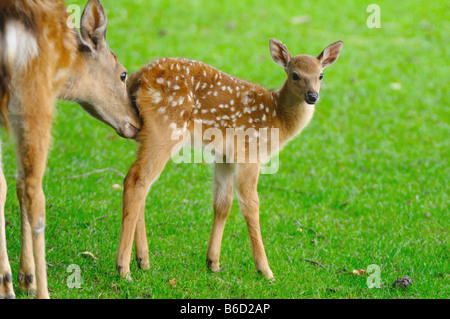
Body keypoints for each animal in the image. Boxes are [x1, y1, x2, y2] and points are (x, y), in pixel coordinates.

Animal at [0, 0, 140, 300]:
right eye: (123, 74)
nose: (138, 122)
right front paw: (27, 279)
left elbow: (11, 183)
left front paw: (22, 276)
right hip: (33, 94)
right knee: (34, 191)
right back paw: (41, 291)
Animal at [118, 38, 342, 282]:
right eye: (295, 74)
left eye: (321, 75)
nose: (312, 96)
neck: (277, 119)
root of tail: (137, 77)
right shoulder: (250, 153)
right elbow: (251, 206)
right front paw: (265, 270)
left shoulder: (225, 156)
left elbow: (222, 203)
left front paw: (213, 263)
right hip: (165, 126)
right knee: (137, 181)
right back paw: (124, 268)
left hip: (149, 133)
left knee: (138, 181)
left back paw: (143, 261)